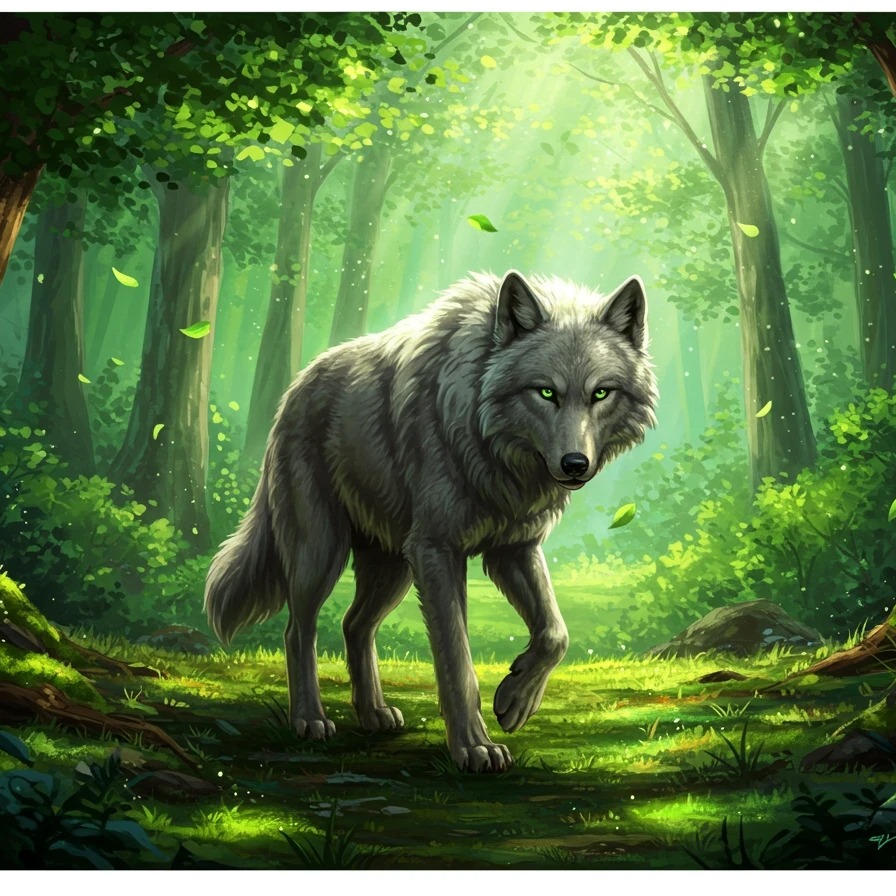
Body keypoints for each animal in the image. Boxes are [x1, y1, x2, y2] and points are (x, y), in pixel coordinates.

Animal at [205, 270, 657, 772]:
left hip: (394, 568)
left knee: (353, 625)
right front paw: (474, 747)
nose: (575, 464)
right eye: (546, 392)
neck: (484, 436)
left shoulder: (513, 548)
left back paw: (374, 714)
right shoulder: (439, 551)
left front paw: (515, 700)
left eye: (601, 393)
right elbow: (456, 661)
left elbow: (555, 633)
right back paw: (309, 719)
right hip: (321, 554)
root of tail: (296, 385)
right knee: (298, 630)